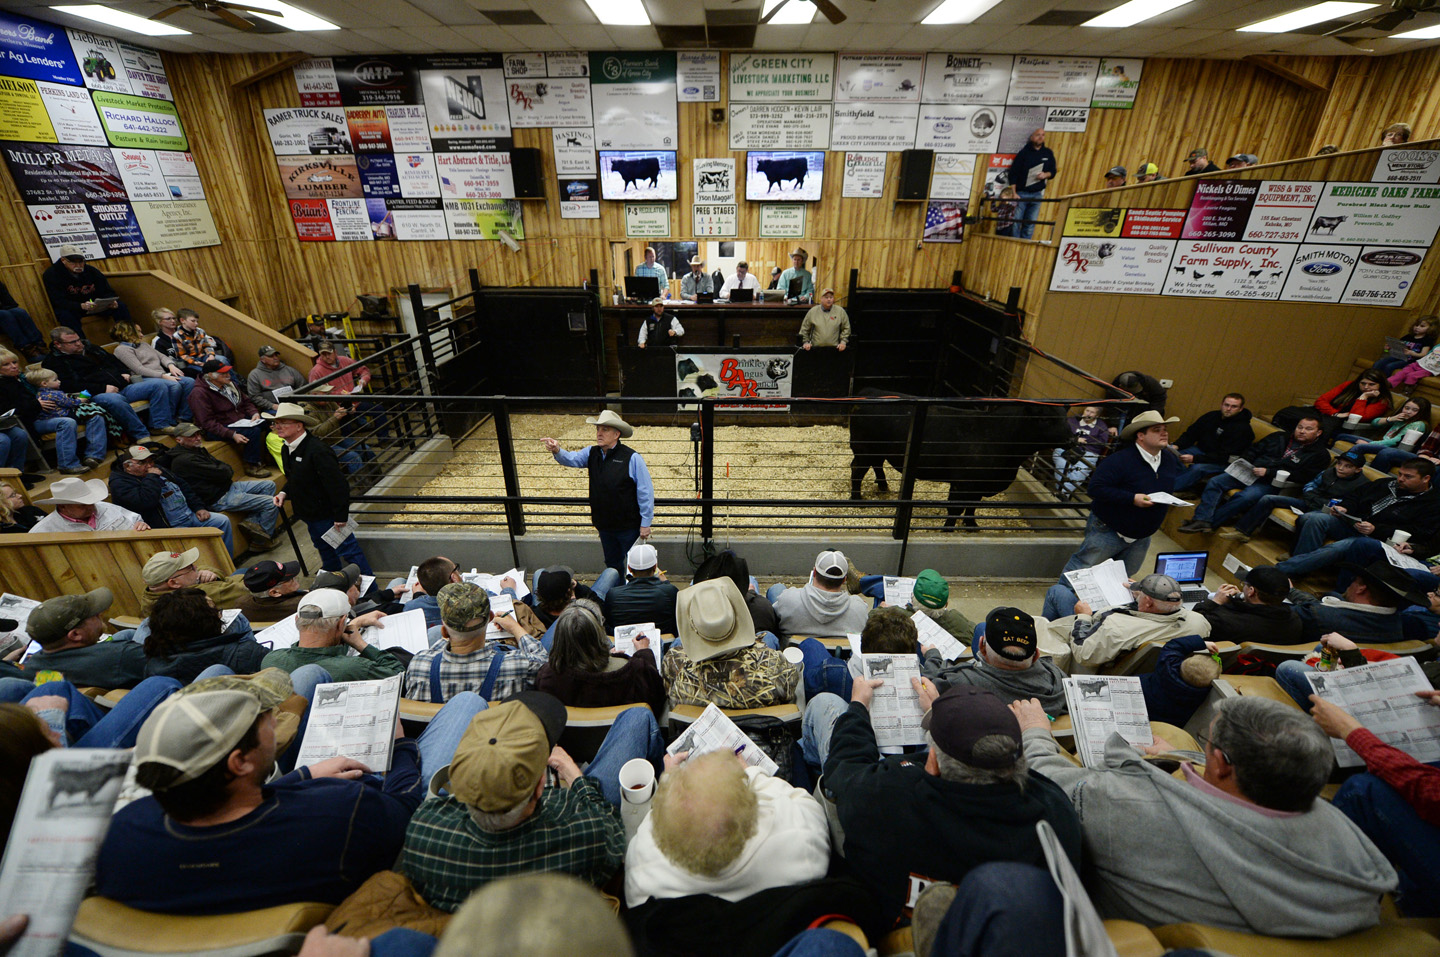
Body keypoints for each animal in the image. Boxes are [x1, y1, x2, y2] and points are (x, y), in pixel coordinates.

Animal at [846, 388, 1077, 529]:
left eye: (1064, 418)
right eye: (1045, 419)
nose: (1072, 439)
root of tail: (869, 392)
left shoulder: (979, 484)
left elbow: (972, 505)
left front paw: (971, 525)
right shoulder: (962, 482)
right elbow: (955, 508)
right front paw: (948, 529)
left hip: (878, 450)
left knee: (877, 465)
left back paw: (883, 486)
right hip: (864, 449)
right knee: (857, 470)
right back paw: (857, 499)